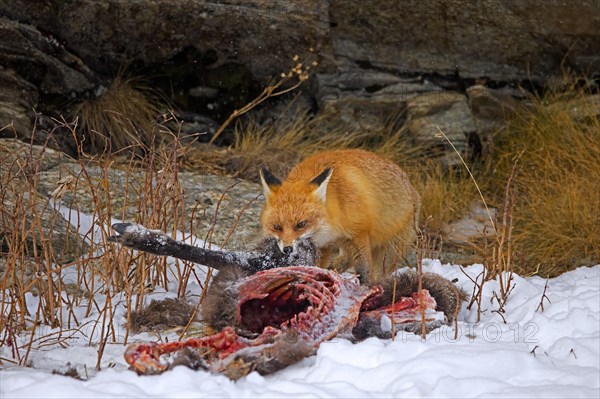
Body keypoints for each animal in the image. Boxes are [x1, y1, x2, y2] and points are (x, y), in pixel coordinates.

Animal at [258, 148, 422, 282]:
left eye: (301, 224)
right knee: (345, 261)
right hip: (346, 246)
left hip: (390, 252)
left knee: (377, 274)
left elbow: (365, 271)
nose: (287, 249)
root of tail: (413, 189)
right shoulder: (325, 245)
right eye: (277, 227)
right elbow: (318, 266)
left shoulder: (358, 235)